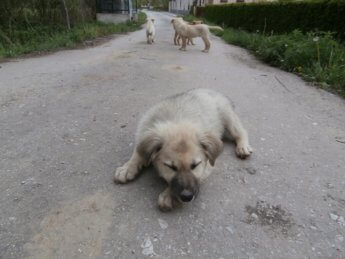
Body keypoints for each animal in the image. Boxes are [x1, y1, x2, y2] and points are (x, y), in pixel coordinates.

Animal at [114, 89, 251, 211]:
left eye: (195, 165)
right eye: (171, 167)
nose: (187, 197)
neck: (177, 119)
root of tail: (211, 90)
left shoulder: (208, 165)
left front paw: (168, 195)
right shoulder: (144, 134)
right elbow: (138, 152)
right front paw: (127, 168)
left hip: (228, 118)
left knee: (241, 131)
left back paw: (243, 147)